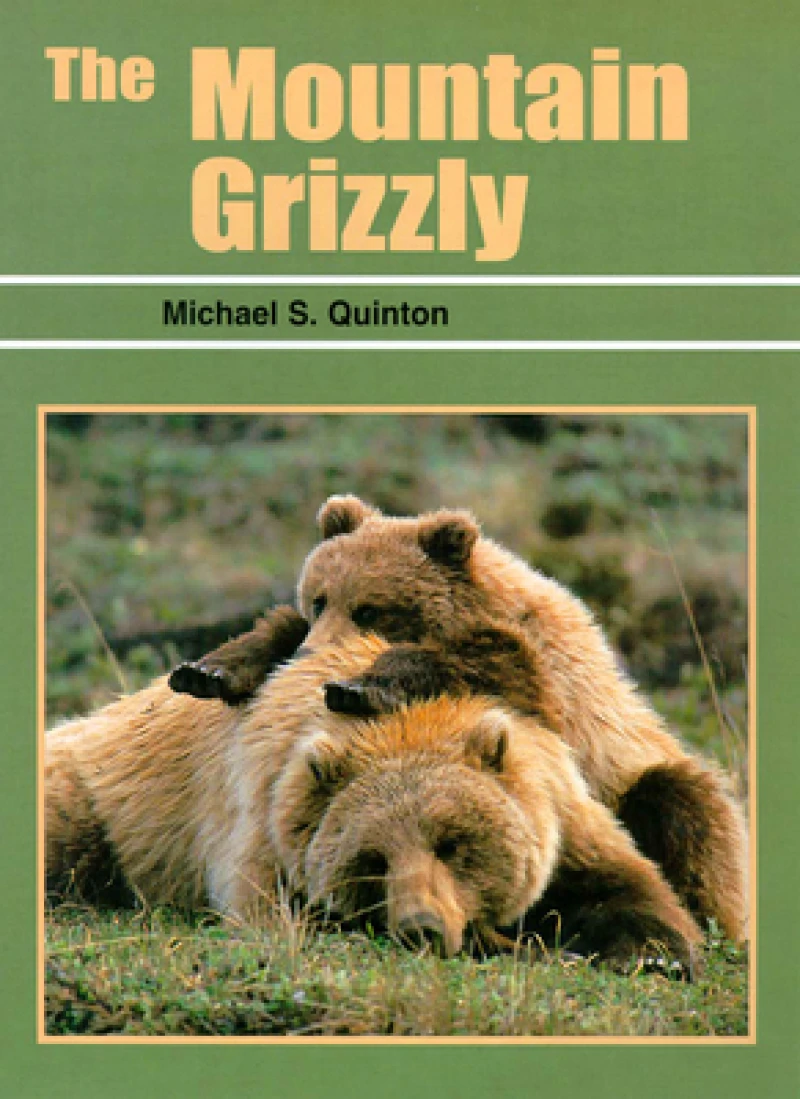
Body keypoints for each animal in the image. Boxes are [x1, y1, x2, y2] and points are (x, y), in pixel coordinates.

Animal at [46, 613, 702, 975]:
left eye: (454, 842)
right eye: (372, 859)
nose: (422, 927)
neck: (404, 723)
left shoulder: (558, 806)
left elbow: (629, 890)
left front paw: (648, 952)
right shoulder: (269, 822)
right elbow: (285, 917)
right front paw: (531, 946)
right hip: (95, 804)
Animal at [169, 495, 748, 943]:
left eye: (369, 608)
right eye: (318, 597)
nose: (314, 657)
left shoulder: (545, 680)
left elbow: (477, 666)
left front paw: (360, 686)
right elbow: (270, 637)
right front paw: (208, 670)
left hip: (639, 774)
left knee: (682, 806)